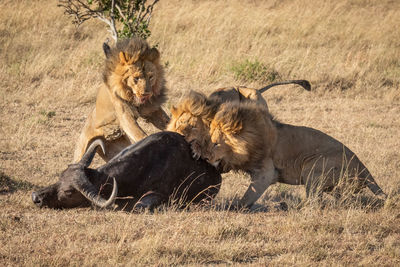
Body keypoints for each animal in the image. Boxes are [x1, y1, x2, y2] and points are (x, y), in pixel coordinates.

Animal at [208, 101, 386, 208]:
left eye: (216, 143)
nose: (206, 157)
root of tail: (364, 169)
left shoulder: (266, 172)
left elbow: (248, 195)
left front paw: (234, 207)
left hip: (312, 167)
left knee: (315, 202)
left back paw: (291, 206)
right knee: (342, 199)